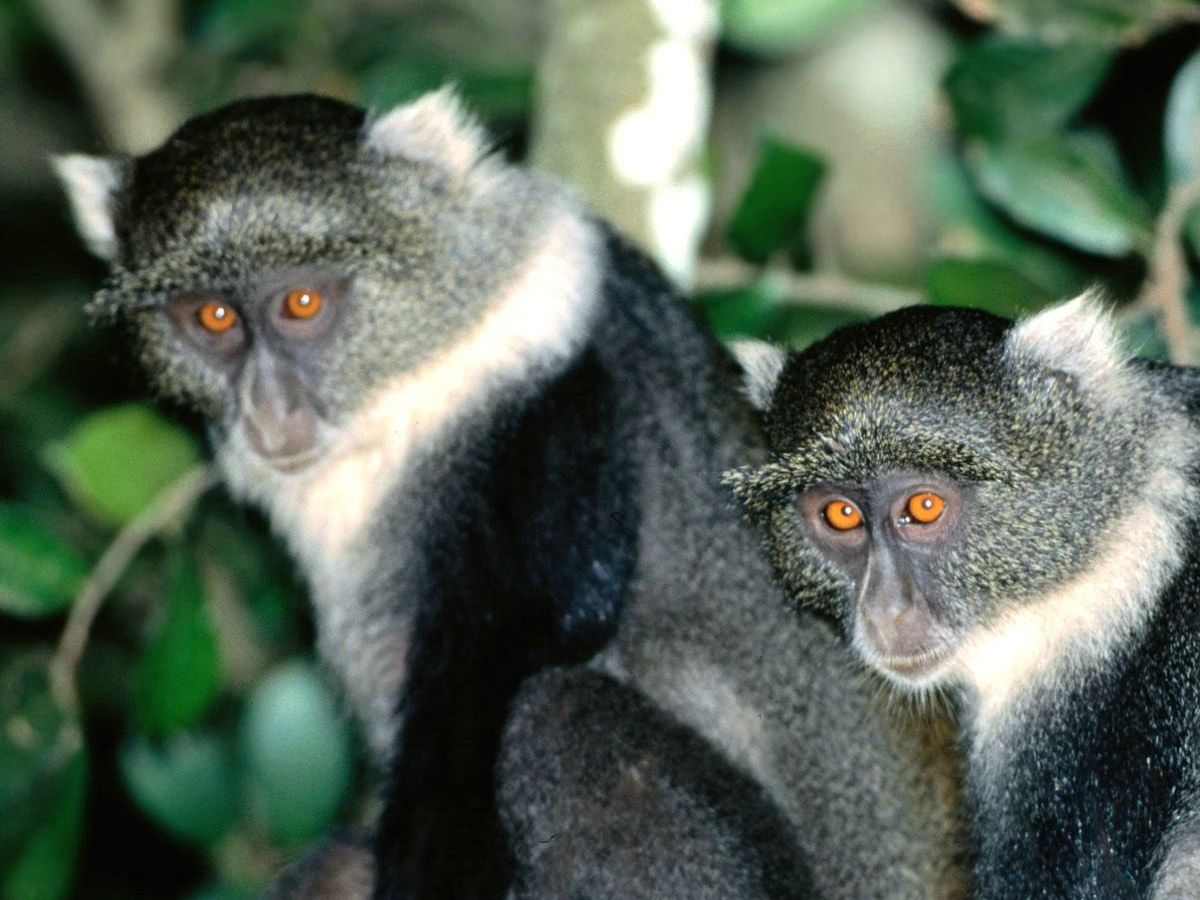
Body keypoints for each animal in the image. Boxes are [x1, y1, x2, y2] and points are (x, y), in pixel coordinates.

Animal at [56, 89, 965, 899]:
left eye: (301, 303)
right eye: (211, 318)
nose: (267, 409)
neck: (415, 379)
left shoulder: (553, 405)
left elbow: (493, 679)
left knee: (553, 719)